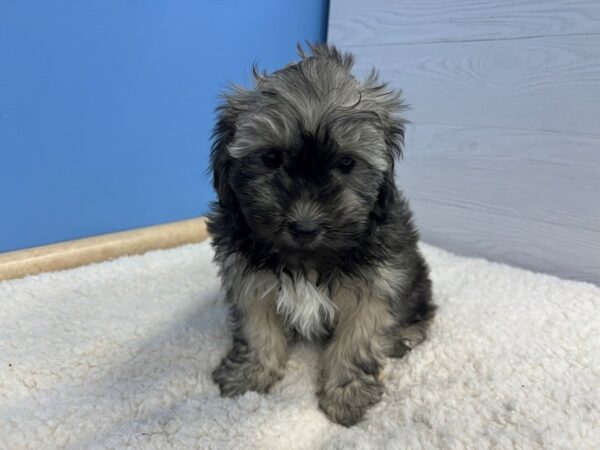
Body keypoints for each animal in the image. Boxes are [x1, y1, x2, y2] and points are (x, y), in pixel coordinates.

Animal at [209, 44, 434, 428]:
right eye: (271, 157)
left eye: (347, 163)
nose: (305, 226)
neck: (307, 262)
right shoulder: (248, 277)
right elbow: (257, 328)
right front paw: (250, 374)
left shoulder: (375, 285)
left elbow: (357, 339)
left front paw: (347, 392)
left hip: (414, 274)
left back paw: (403, 335)